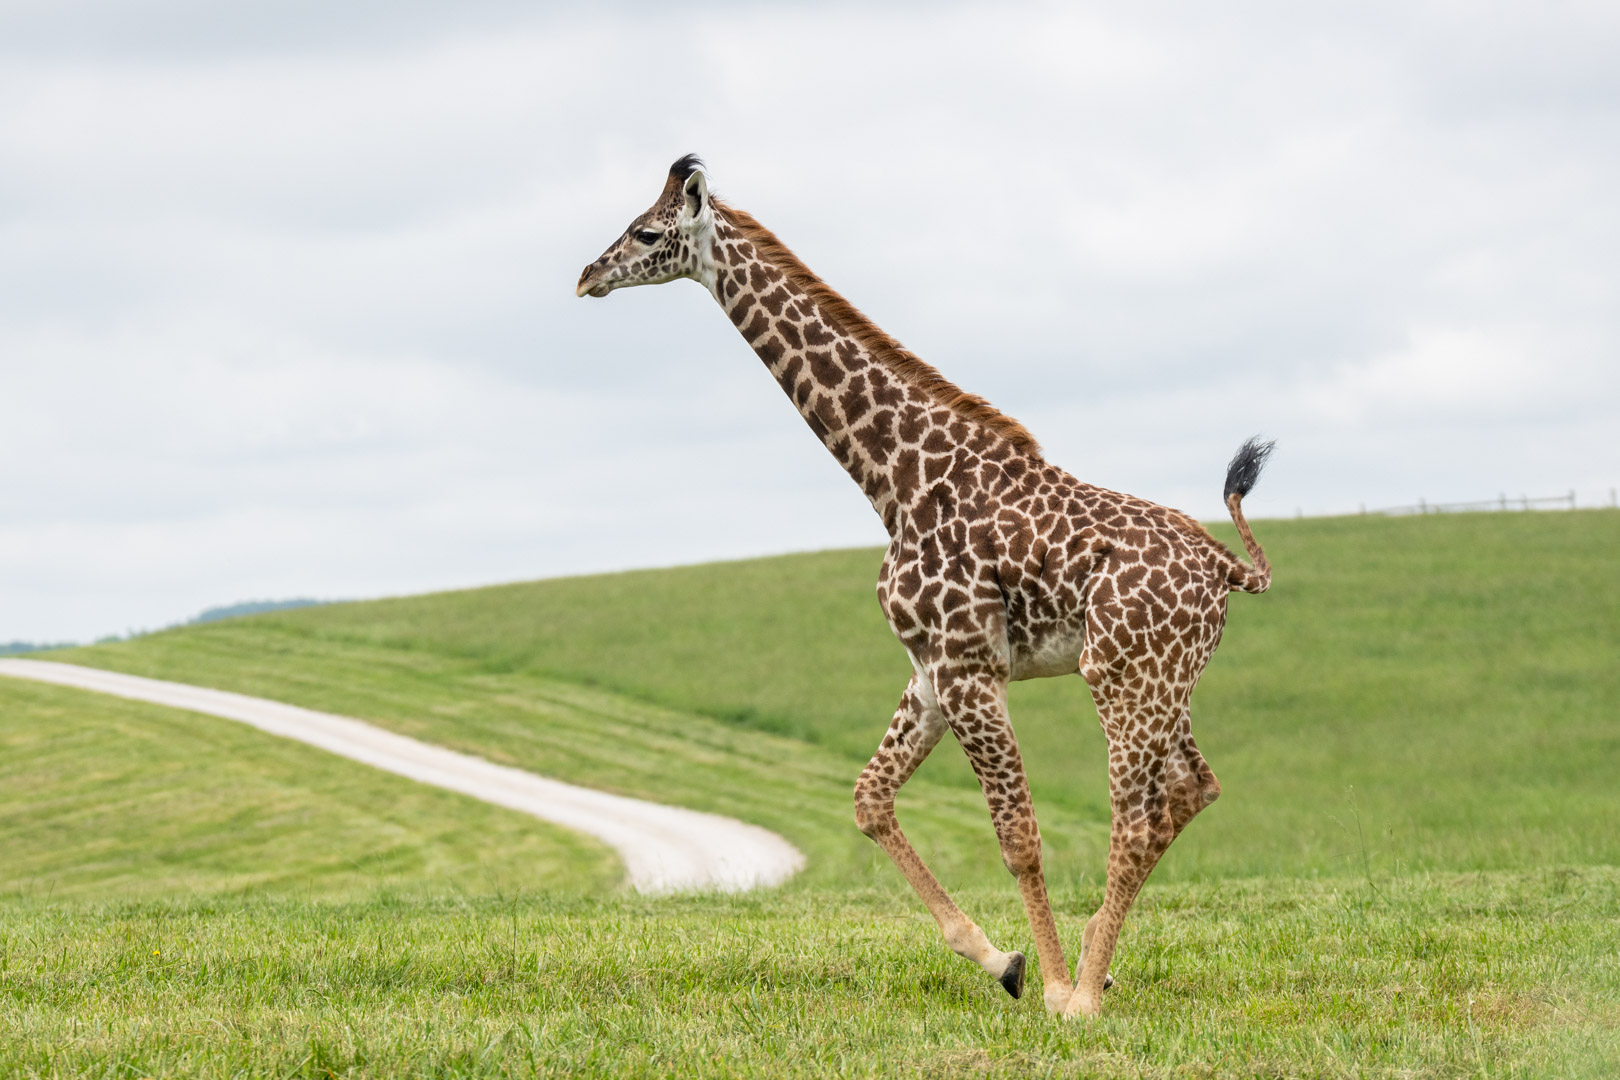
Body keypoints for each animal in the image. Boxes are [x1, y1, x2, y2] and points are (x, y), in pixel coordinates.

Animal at [576, 156, 1270, 1016]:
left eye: (646, 232)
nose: (587, 275)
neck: (897, 480)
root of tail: (1226, 568)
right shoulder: (931, 670)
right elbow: (869, 798)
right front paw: (1003, 961)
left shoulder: (970, 665)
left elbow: (1018, 836)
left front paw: (1048, 988)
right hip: (1164, 678)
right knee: (1192, 789)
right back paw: (1095, 961)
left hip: (1121, 675)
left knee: (1139, 817)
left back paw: (1084, 993)